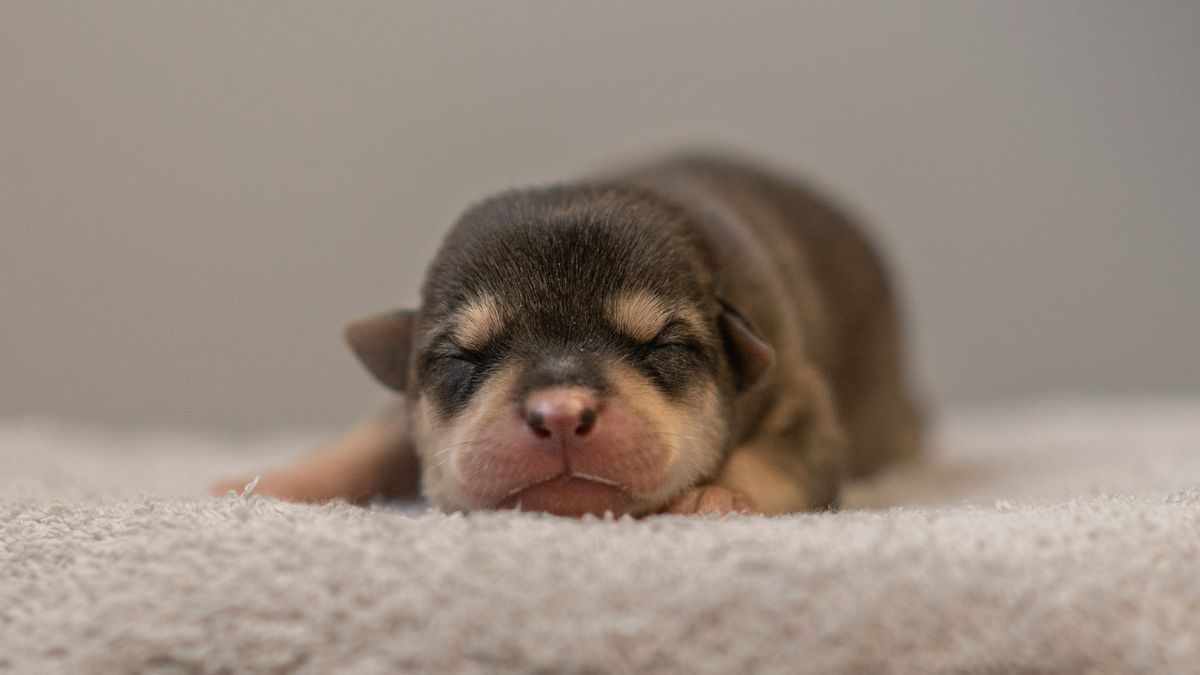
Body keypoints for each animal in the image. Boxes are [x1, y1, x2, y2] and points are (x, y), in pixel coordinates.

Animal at [216, 152, 921, 514]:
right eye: (463, 357)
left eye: (660, 346)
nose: (559, 414)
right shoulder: (397, 413)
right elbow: (361, 445)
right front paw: (263, 484)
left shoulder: (799, 399)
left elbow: (781, 460)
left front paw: (714, 498)